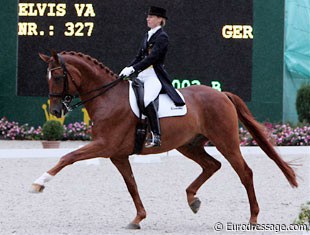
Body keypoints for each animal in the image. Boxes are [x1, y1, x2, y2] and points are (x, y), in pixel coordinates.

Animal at [32, 51, 298, 229]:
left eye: (58, 77)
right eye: (47, 77)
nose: (55, 111)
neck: (107, 98)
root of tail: (222, 94)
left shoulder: (104, 146)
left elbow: (68, 156)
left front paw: (39, 183)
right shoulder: (117, 154)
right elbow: (131, 185)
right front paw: (138, 218)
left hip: (225, 141)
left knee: (244, 172)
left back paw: (253, 217)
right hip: (188, 145)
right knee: (212, 165)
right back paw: (192, 199)